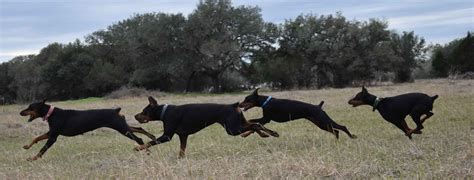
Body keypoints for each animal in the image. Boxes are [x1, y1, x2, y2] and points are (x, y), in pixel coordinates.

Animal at [19, 100, 156, 162]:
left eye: (30, 107)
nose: (20, 112)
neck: (51, 113)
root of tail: (116, 110)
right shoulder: (51, 133)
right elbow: (36, 138)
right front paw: (27, 146)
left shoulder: (53, 137)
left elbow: (42, 149)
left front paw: (33, 158)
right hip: (123, 126)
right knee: (139, 129)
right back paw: (152, 137)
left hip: (121, 128)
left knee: (138, 138)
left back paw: (147, 151)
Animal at [133, 96, 280, 157]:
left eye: (144, 111)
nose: (135, 116)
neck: (165, 112)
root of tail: (234, 105)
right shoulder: (183, 136)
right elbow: (182, 149)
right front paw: (180, 159)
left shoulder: (167, 136)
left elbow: (150, 142)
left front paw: (138, 147)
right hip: (238, 123)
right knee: (256, 124)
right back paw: (270, 133)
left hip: (232, 129)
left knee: (254, 125)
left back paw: (264, 134)